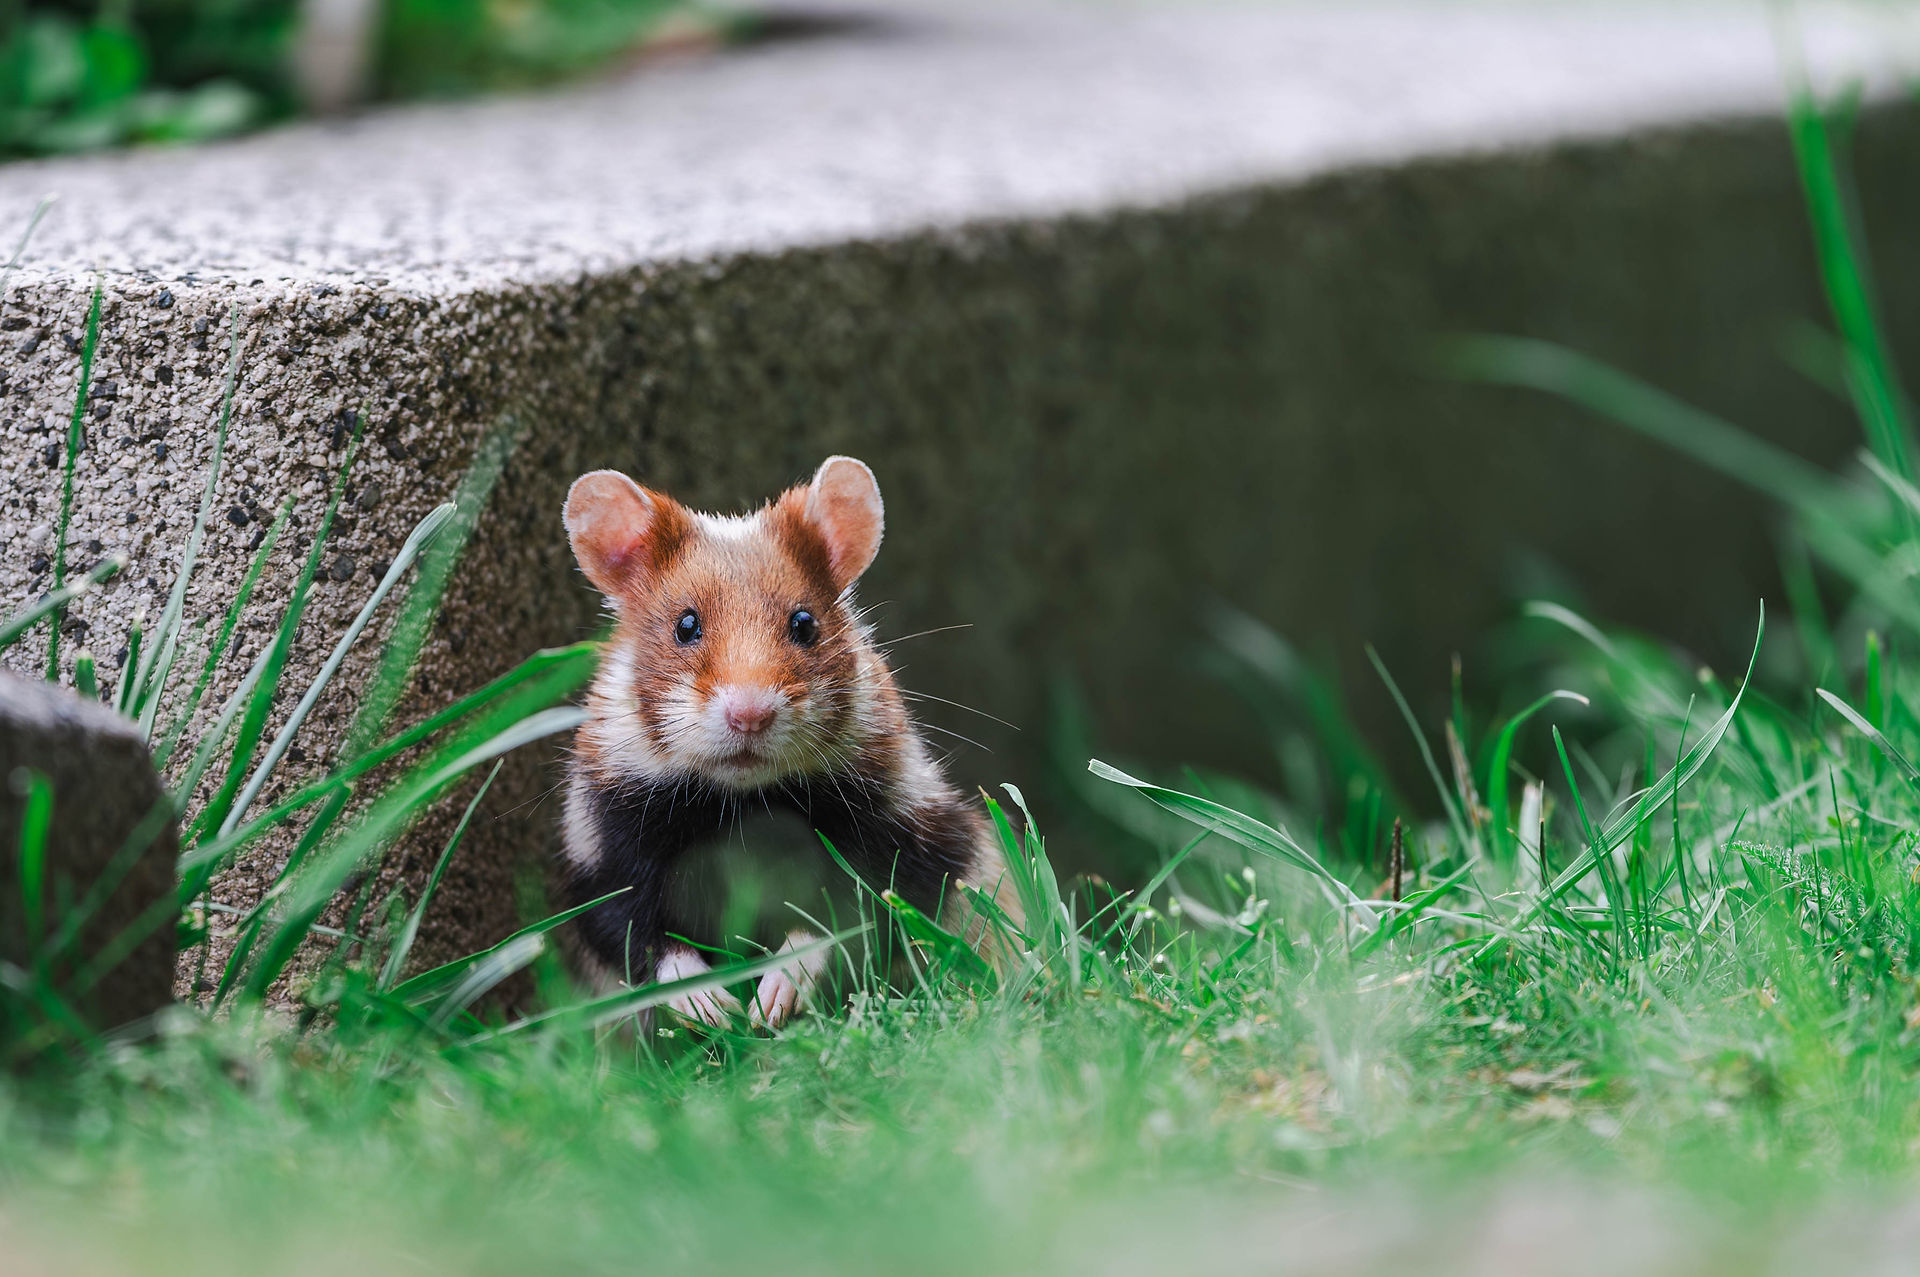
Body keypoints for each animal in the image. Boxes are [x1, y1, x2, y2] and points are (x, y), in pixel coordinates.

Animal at [559, 456, 1021, 1029]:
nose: (750, 714)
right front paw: (715, 1008)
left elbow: (839, 920)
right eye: (686, 625)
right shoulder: (603, 856)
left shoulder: (896, 839)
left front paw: (767, 1006)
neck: (741, 804)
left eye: (804, 624)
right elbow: (640, 935)